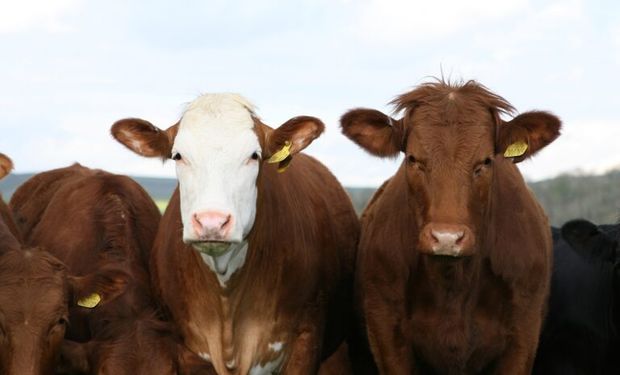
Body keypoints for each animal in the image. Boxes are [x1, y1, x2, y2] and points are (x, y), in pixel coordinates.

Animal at [340, 78, 560, 374]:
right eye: (413, 158)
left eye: (486, 161)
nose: (447, 238)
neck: (453, 285)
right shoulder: (386, 332)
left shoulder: (523, 335)